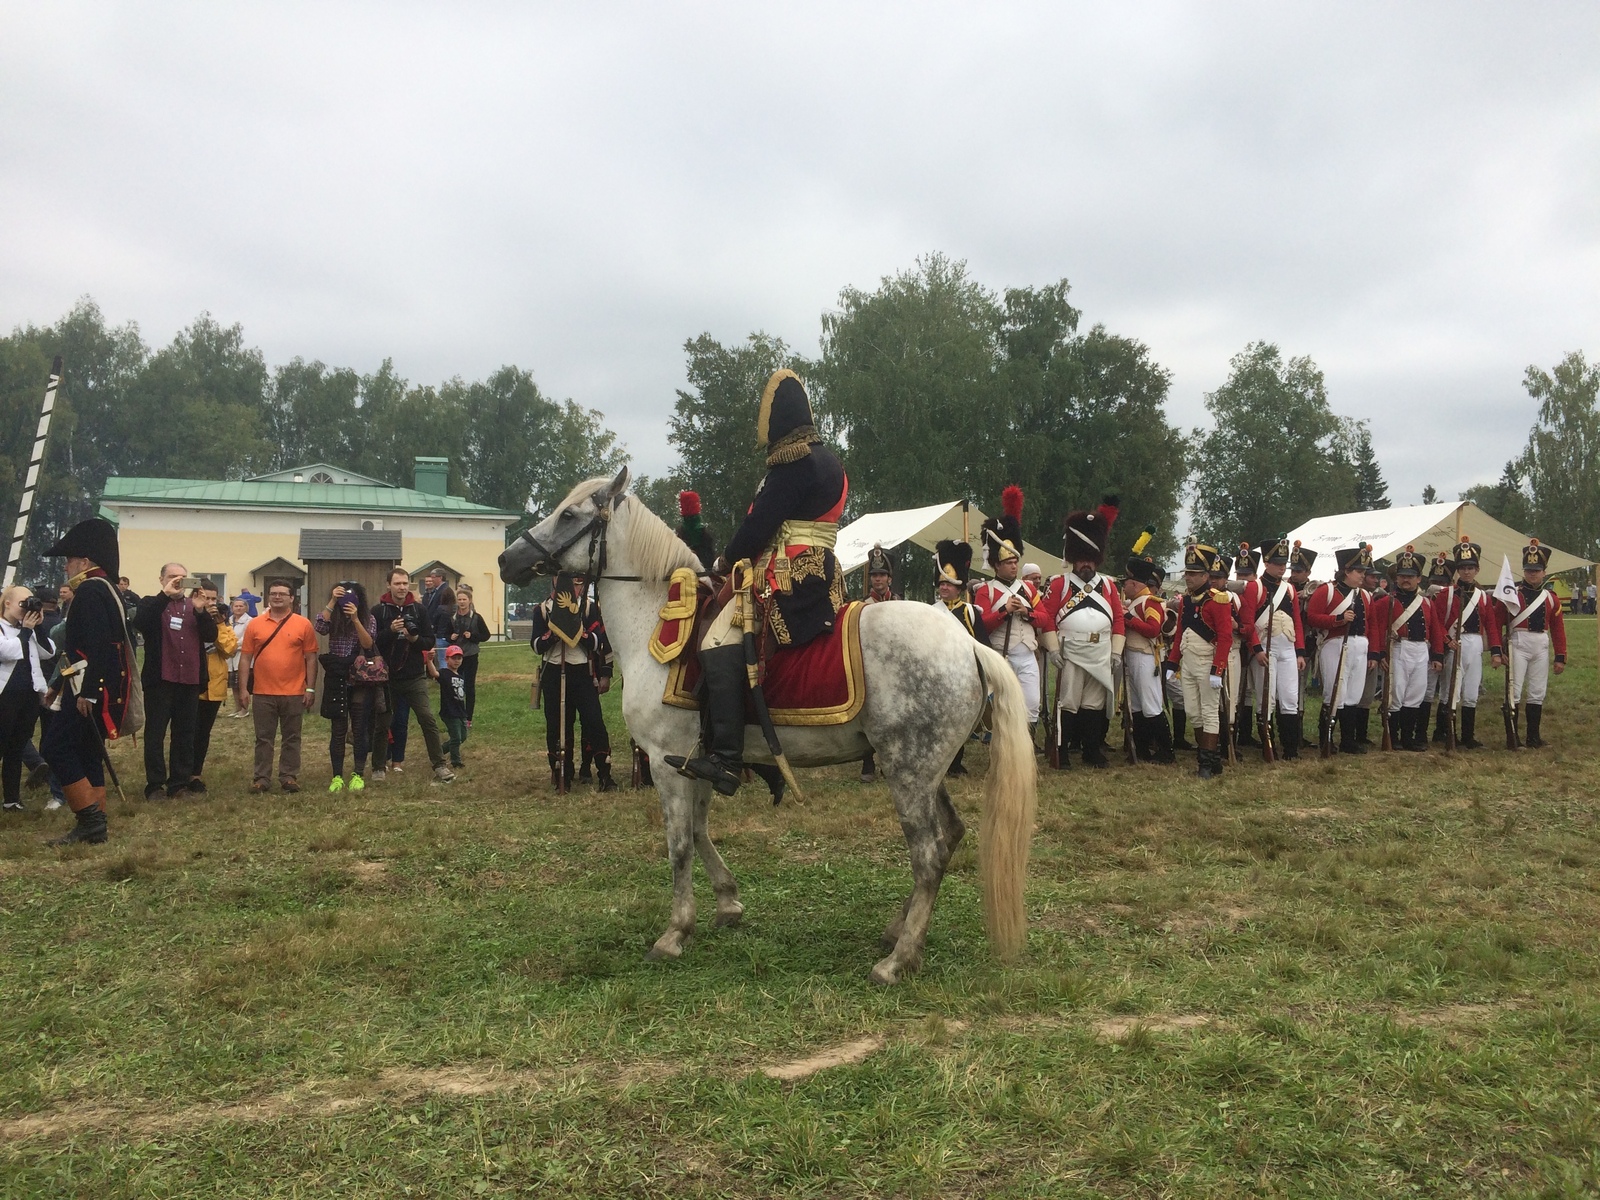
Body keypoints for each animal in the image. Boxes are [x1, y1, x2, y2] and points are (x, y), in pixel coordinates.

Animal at [505, 470, 1043, 985]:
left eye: (569, 514)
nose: (508, 559)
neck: (654, 622)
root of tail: (969, 645)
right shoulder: (698, 759)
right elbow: (698, 830)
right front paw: (727, 903)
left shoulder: (664, 761)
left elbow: (679, 845)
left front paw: (675, 932)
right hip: (926, 770)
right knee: (949, 838)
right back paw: (896, 931)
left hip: (907, 770)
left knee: (928, 853)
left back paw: (898, 959)